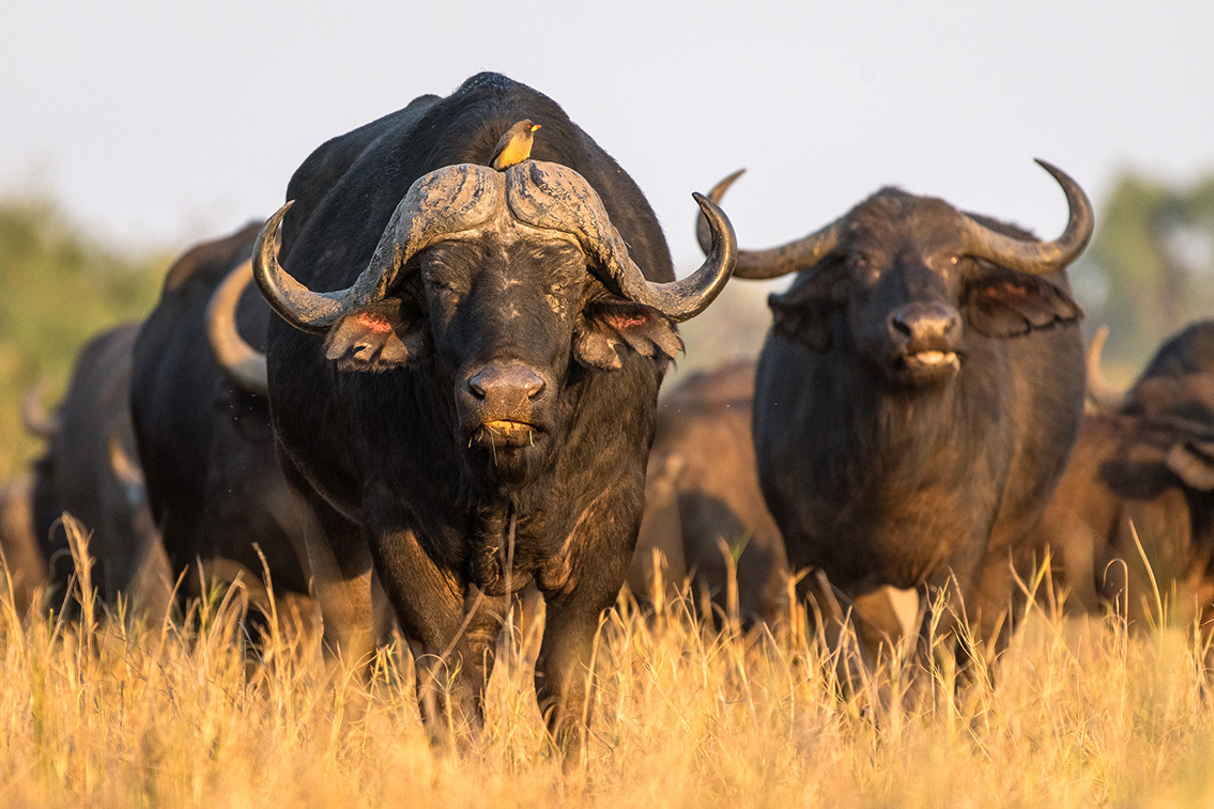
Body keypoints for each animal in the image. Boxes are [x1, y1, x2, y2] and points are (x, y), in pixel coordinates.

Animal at [252, 72, 736, 753]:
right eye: (440, 282)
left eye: (564, 283)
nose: (505, 394)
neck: (511, 478)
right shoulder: (397, 522)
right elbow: (444, 679)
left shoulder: (612, 518)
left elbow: (563, 679)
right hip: (316, 507)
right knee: (352, 647)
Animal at [701, 161, 1093, 667]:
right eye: (861, 261)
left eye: (953, 259)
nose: (927, 328)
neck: (894, 471)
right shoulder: (814, 559)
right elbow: (854, 651)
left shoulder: (960, 555)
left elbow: (932, 649)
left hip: (1009, 550)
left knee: (985, 640)